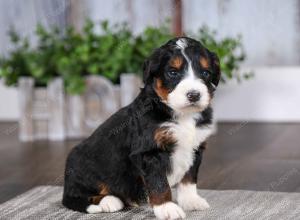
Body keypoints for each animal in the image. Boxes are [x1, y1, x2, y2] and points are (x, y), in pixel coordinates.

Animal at [62, 37, 220, 219]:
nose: (194, 95)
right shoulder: (150, 152)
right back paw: (109, 201)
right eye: (173, 72)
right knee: (76, 195)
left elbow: (189, 178)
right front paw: (166, 208)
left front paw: (191, 201)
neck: (181, 115)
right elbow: (159, 183)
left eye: (205, 73)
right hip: (83, 167)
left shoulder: (195, 147)